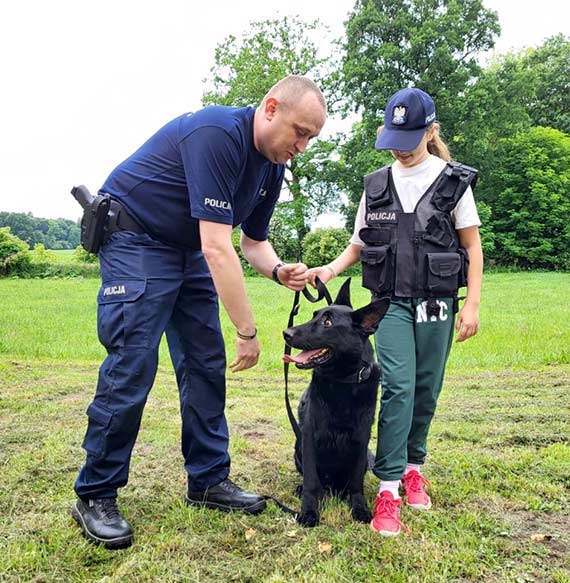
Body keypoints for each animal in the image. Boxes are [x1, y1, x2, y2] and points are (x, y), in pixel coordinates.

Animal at [282, 280, 388, 528]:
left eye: (327, 323)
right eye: (315, 315)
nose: (286, 333)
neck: (343, 381)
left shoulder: (361, 439)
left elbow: (356, 482)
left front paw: (359, 507)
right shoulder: (310, 438)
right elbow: (312, 482)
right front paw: (309, 512)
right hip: (298, 448)